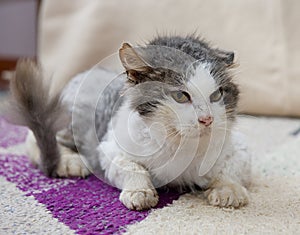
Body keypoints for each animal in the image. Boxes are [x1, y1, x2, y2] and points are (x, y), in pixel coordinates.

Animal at [7, 35, 251, 211]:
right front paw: (140, 192)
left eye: (217, 95)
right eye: (181, 96)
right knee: (35, 137)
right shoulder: (109, 149)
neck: (179, 144)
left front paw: (229, 189)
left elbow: (231, 168)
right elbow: (132, 167)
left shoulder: (237, 147)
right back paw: (68, 161)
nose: (207, 119)